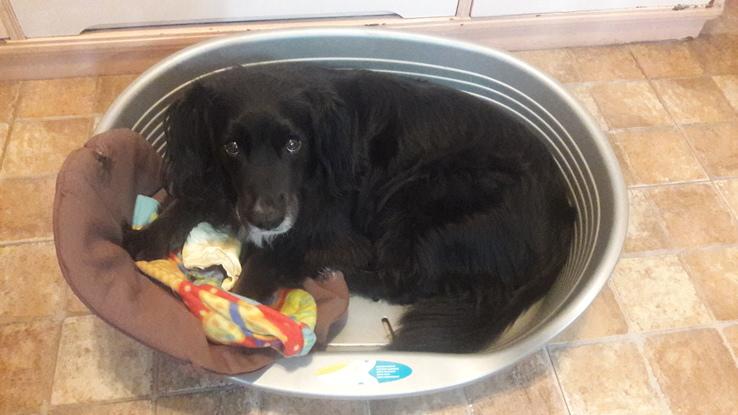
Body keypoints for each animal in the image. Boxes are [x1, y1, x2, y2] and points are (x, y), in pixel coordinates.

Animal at [126, 65, 576, 354]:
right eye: (231, 146)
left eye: (294, 144)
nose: (266, 219)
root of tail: (563, 217)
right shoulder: (225, 187)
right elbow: (191, 201)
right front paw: (145, 239)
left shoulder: (334, 232)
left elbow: (277, 256)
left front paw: (242, 307)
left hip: (419, 196)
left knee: (401, 279)